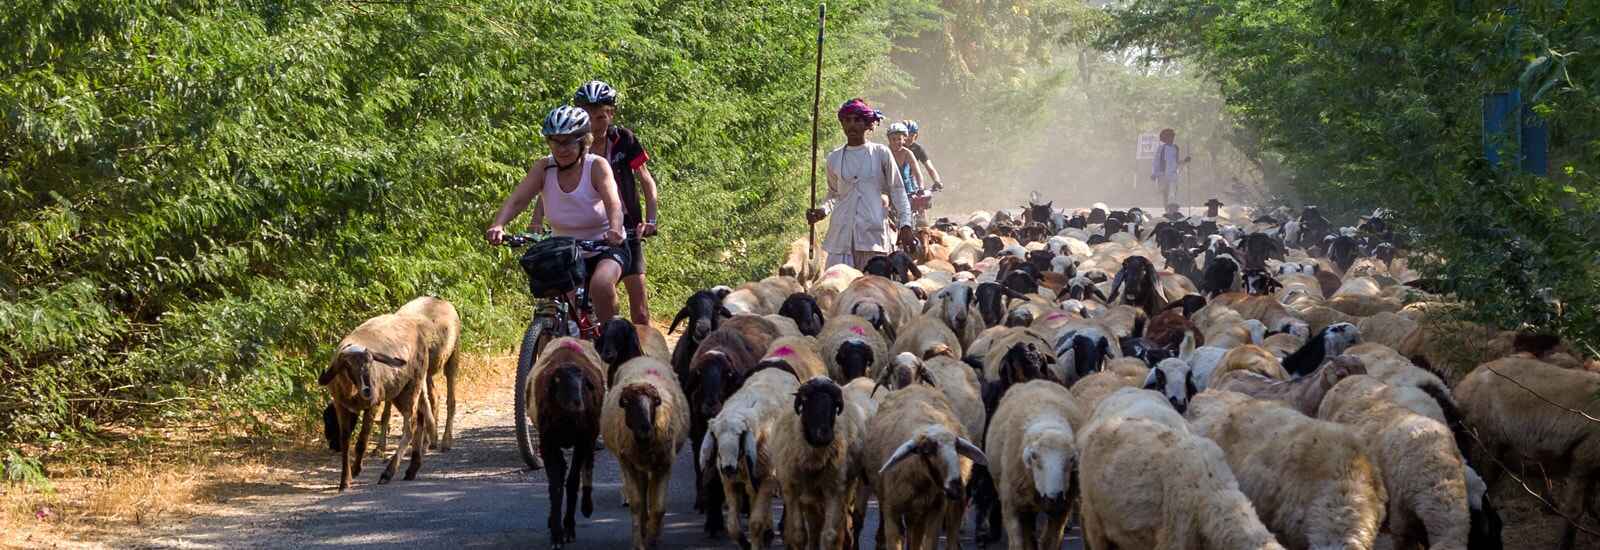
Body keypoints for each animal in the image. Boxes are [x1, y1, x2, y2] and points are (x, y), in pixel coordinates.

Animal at [601, 356, 688, 550]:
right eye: (627, 403)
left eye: (654, 402)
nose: (644, 430)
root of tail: (642, 357)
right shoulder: (628, 463)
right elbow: (636, 503)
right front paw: (639, 542)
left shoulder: (664, 464)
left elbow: (658, 507)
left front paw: (652, 539)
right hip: (638, 464)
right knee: (643, 493)